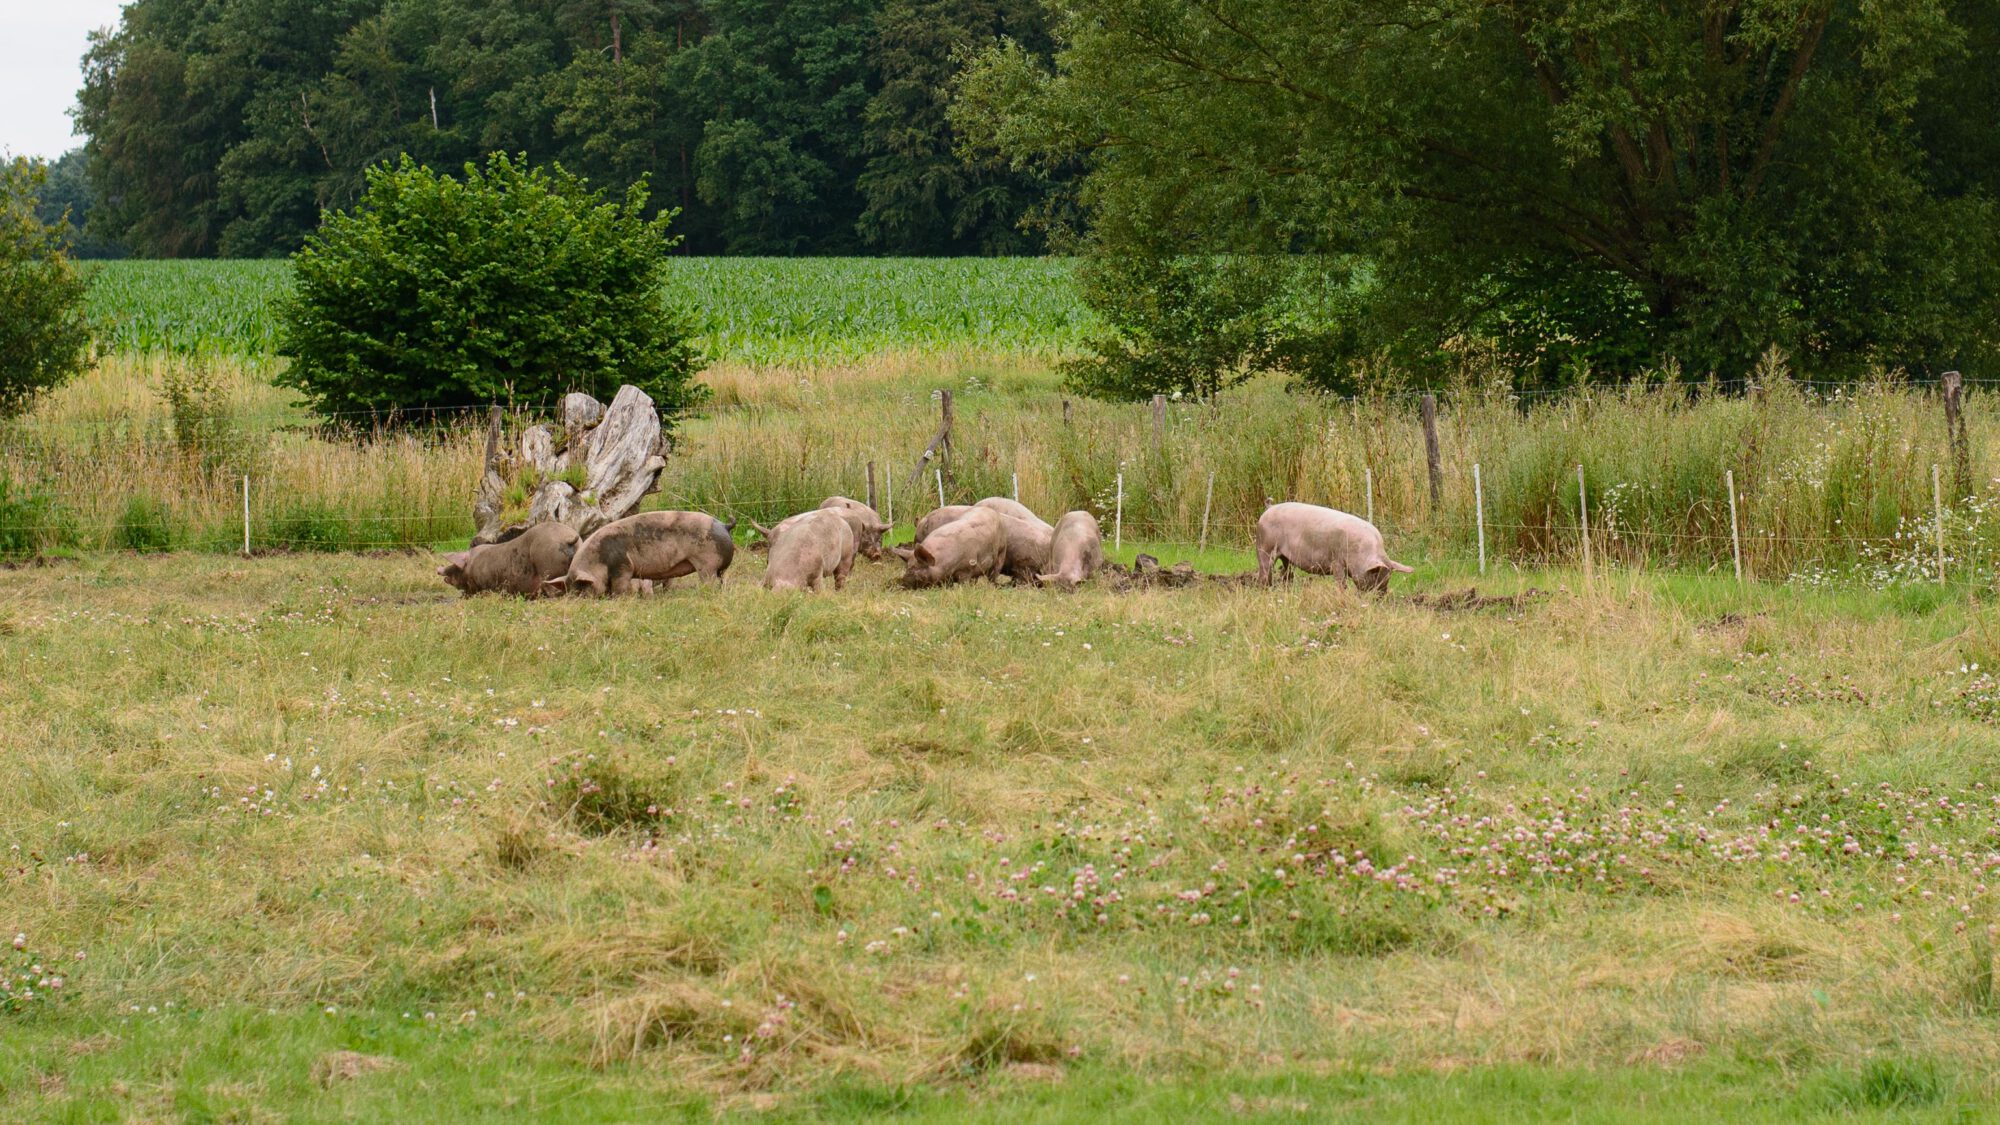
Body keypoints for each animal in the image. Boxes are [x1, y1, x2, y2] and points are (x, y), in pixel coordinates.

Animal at [548, 508, 736, 596]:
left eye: (582, 588)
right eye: (570, 590)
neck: (598, 560)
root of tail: (724, 525)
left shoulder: (623, 566)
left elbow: (620, 586)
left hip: (707, 565)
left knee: (709, 581)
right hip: (719, 569)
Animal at [1256, 496, 1416, 588]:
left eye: (1387, 580)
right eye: (1374, 578)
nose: (1377, 600)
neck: (1361, 552)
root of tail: (1269, 508)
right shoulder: (1337, 561)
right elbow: (1341, 582)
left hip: (1286, 557)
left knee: (1286, 572)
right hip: (1264, 547)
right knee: (1265, 572)